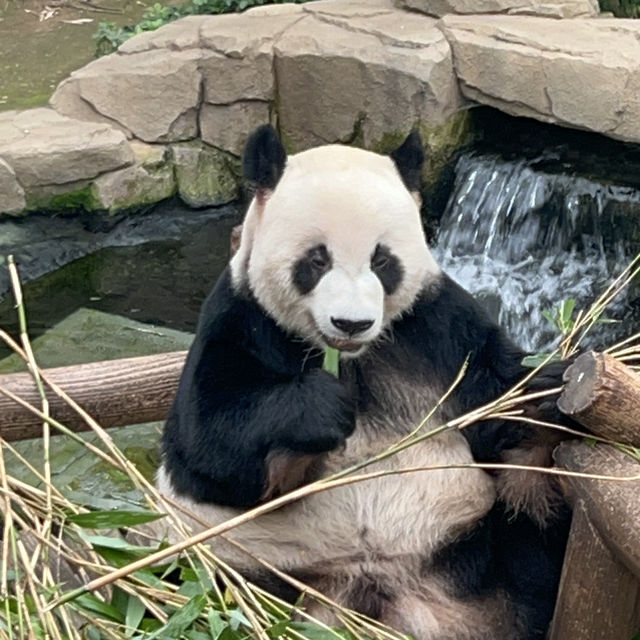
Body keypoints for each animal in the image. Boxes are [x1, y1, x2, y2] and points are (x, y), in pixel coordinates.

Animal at [159, 125, 568, 640]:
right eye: (317, 260)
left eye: (382, 260)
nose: (350, 323)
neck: (351, 358)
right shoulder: (240, 320)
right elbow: (207, 445)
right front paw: (321, 408)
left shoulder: (436, 328)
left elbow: (495, 405)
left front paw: (547, 389)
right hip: (244, 564)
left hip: (477, 538)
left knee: (531, 534)